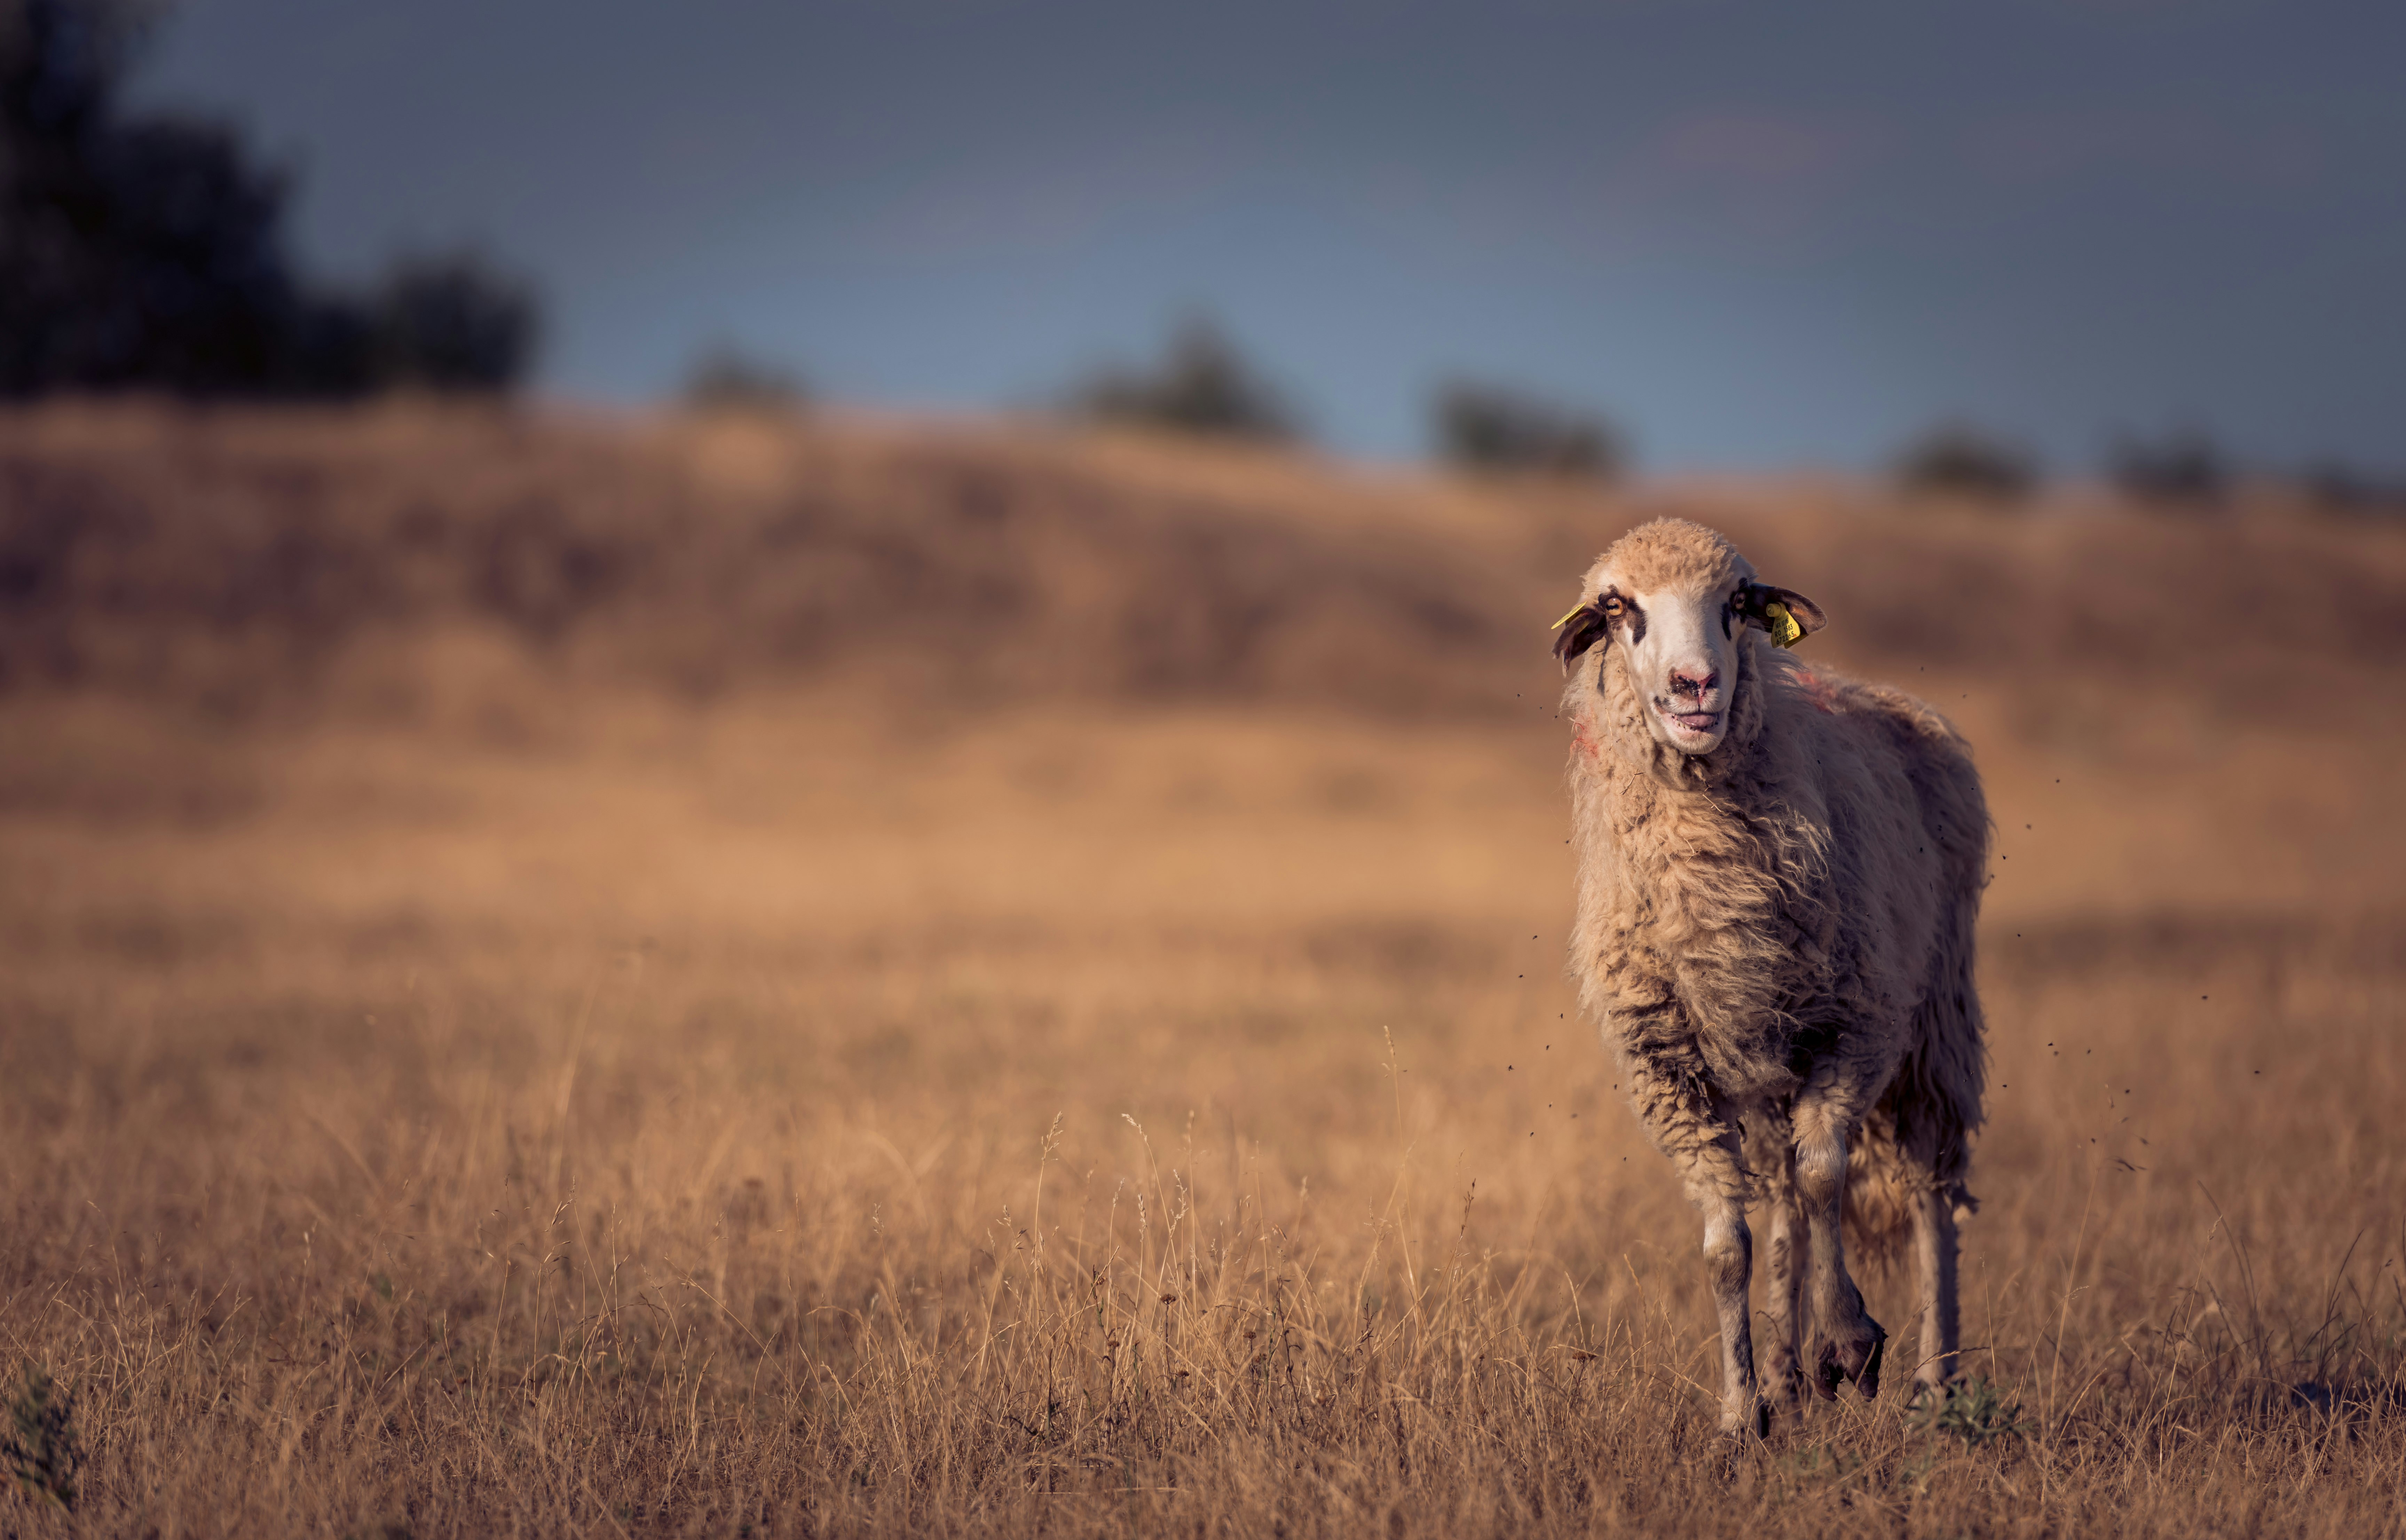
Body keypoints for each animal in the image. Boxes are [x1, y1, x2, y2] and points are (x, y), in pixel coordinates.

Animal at [1549, 517, 1982, 1434]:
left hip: (1934, 1019)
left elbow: (1826, 1179)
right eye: (1618, 606)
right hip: (1764, 1066)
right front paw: (1740, 1412)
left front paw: (1849, 1343)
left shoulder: (1856, 1026)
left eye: (1738, 602)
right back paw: (1787, 1375)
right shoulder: (1672, 1073)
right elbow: (1727, 1248)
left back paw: (1932, 1382)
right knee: (1782, 1197)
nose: (1694, 685)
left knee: (1926, 1191)